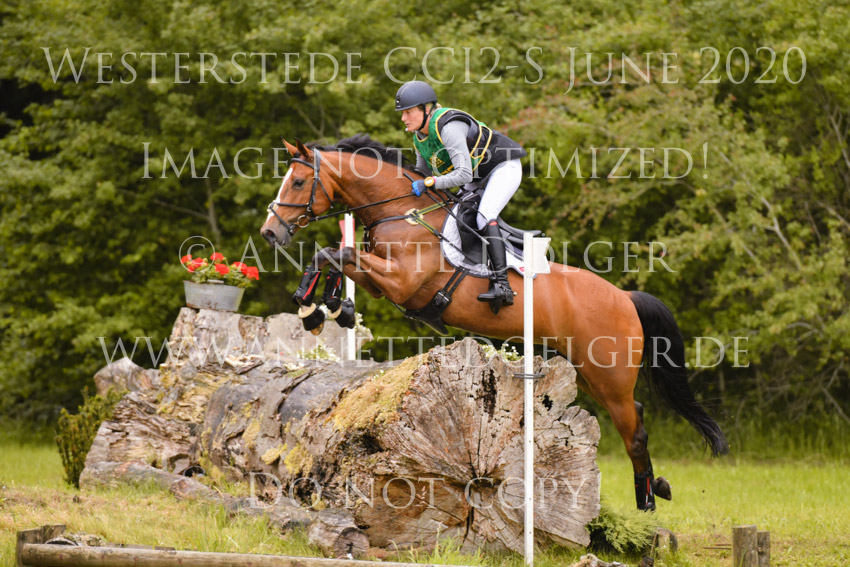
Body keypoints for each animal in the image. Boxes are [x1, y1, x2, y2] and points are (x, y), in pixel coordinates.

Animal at [260, 134, 729, 511]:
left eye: (298, 182)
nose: (269, 233)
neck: (402, 211)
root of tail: (625, 298)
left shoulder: (402, 282)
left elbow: (335, 253)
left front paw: (320, 309)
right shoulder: (382, 283)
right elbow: (330, 256)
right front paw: (322, 307)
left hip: (609, 375)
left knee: (635, 431)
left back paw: (647, 497)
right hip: (593, 372)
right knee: (637, 413)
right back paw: (657, 485)